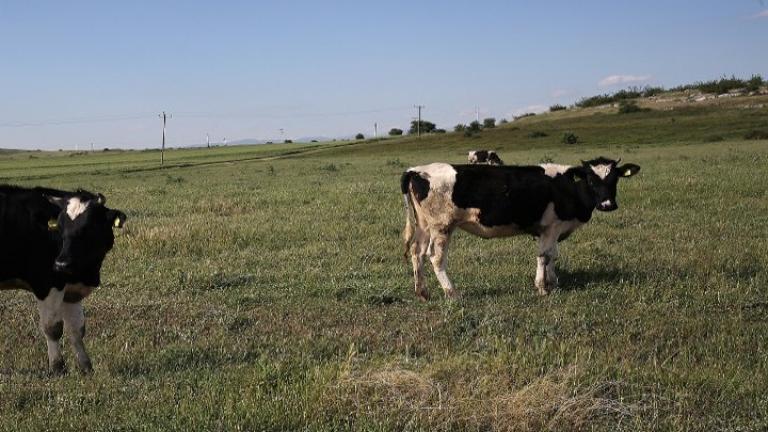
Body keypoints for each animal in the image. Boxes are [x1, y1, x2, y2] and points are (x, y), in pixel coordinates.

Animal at [0, 186, 126, 374]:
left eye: (89, 227)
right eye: (59, 228)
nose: (61, 264)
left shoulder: (71, 292)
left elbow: (77, 329)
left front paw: (85, 366)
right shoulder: (47, 284)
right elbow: (52, 328)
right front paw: (57, 367)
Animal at [400, 156, 640, 300]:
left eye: (615, 179)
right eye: (591, 180)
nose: (608, 204)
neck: (566, 186)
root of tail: (417, 170)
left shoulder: (552, 229)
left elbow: (553, 255)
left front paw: (554, 281)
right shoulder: (551, 226)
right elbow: (544, 256)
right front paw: (542, 287)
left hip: (424, 226)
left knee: (417, 253)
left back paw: (422, 292)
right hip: (442, 226)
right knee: (435, 257)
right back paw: (452, 293)